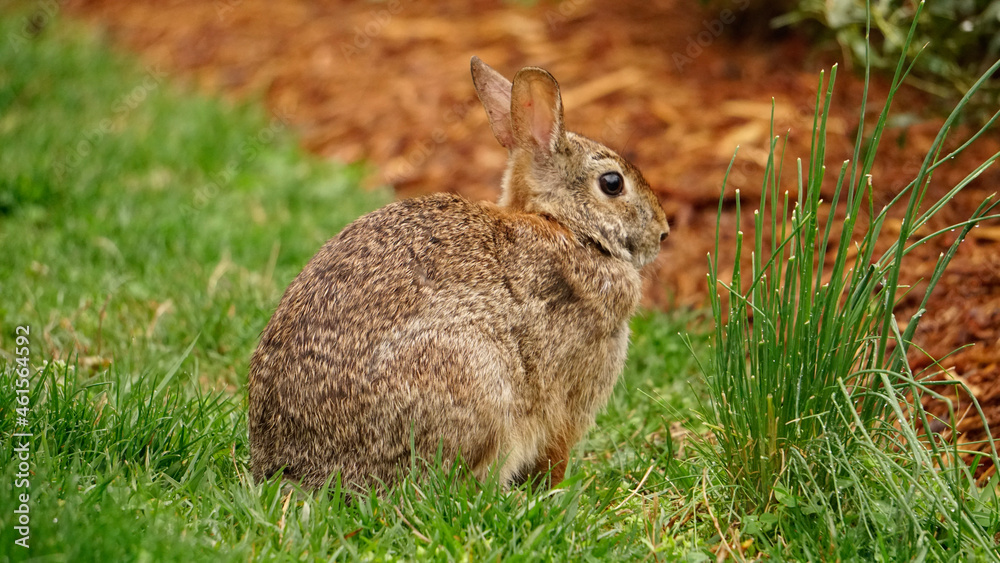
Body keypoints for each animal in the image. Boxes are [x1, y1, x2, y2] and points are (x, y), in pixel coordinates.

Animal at [248, 56, 669, 492]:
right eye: (612, 183)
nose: (663, 232)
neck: (568, 226)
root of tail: (296, 468)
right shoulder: (568, 398)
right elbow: (555, 452)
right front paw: (555, 491)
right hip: (473, 378)